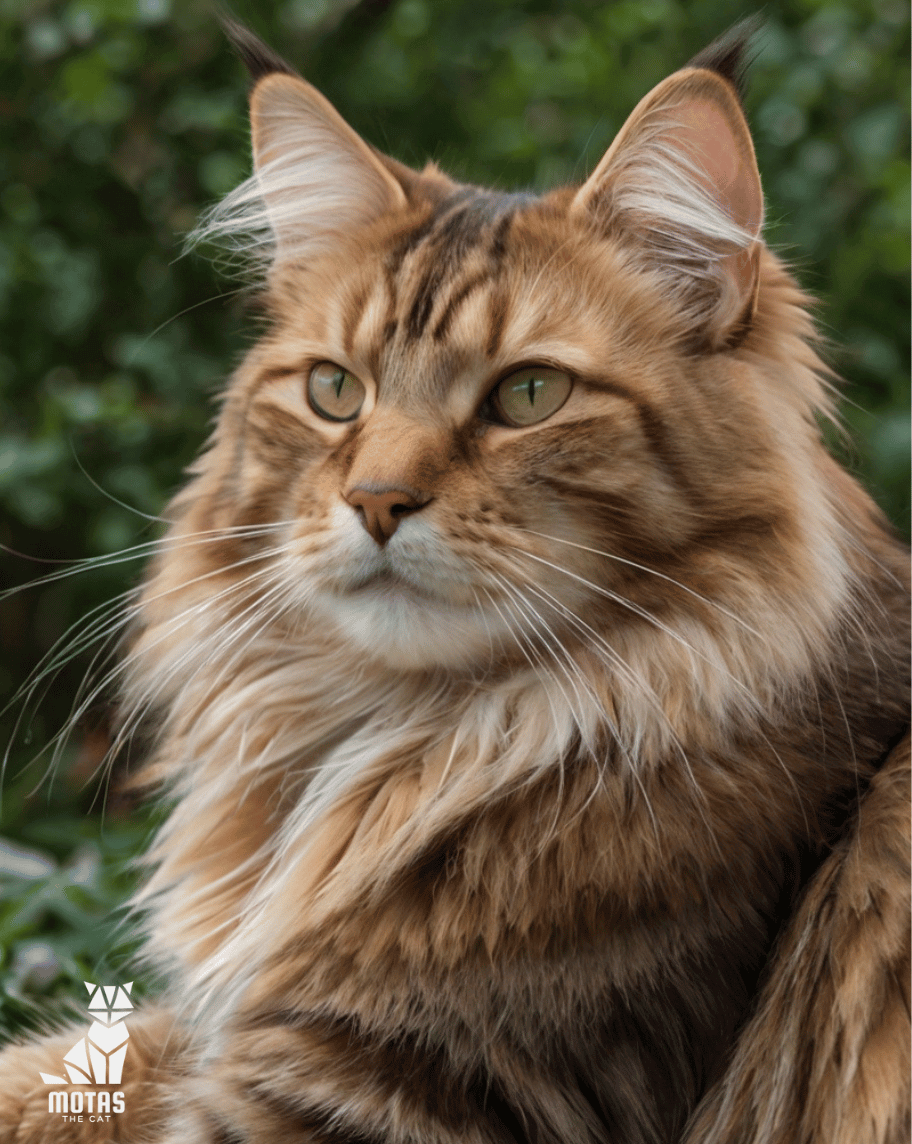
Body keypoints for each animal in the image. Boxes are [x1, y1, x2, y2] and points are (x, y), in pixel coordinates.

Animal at [1, 17, 910, 1144]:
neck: (411, 745)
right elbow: (50, 1069)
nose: (378, 500)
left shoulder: (394, 1085)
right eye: (333, 391)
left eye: (529, 395)